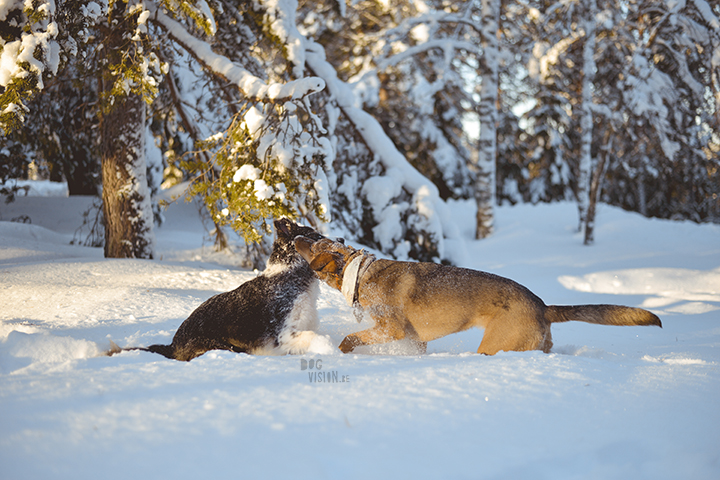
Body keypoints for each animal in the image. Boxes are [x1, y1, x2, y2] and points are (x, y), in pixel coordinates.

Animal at [126, 218, 326, 360]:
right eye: (315, 235)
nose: (334, 239)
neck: (291, 272)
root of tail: (172, 346)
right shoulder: (283, 333)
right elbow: (313, 337)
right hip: (222, 345)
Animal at [294, 235, 664, 352]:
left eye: (313, 243)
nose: (294, 235)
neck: (359, 274)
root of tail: (543, 305)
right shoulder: (413, 339)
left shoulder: (391, 329)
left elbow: (350, 339)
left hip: (495, 345)